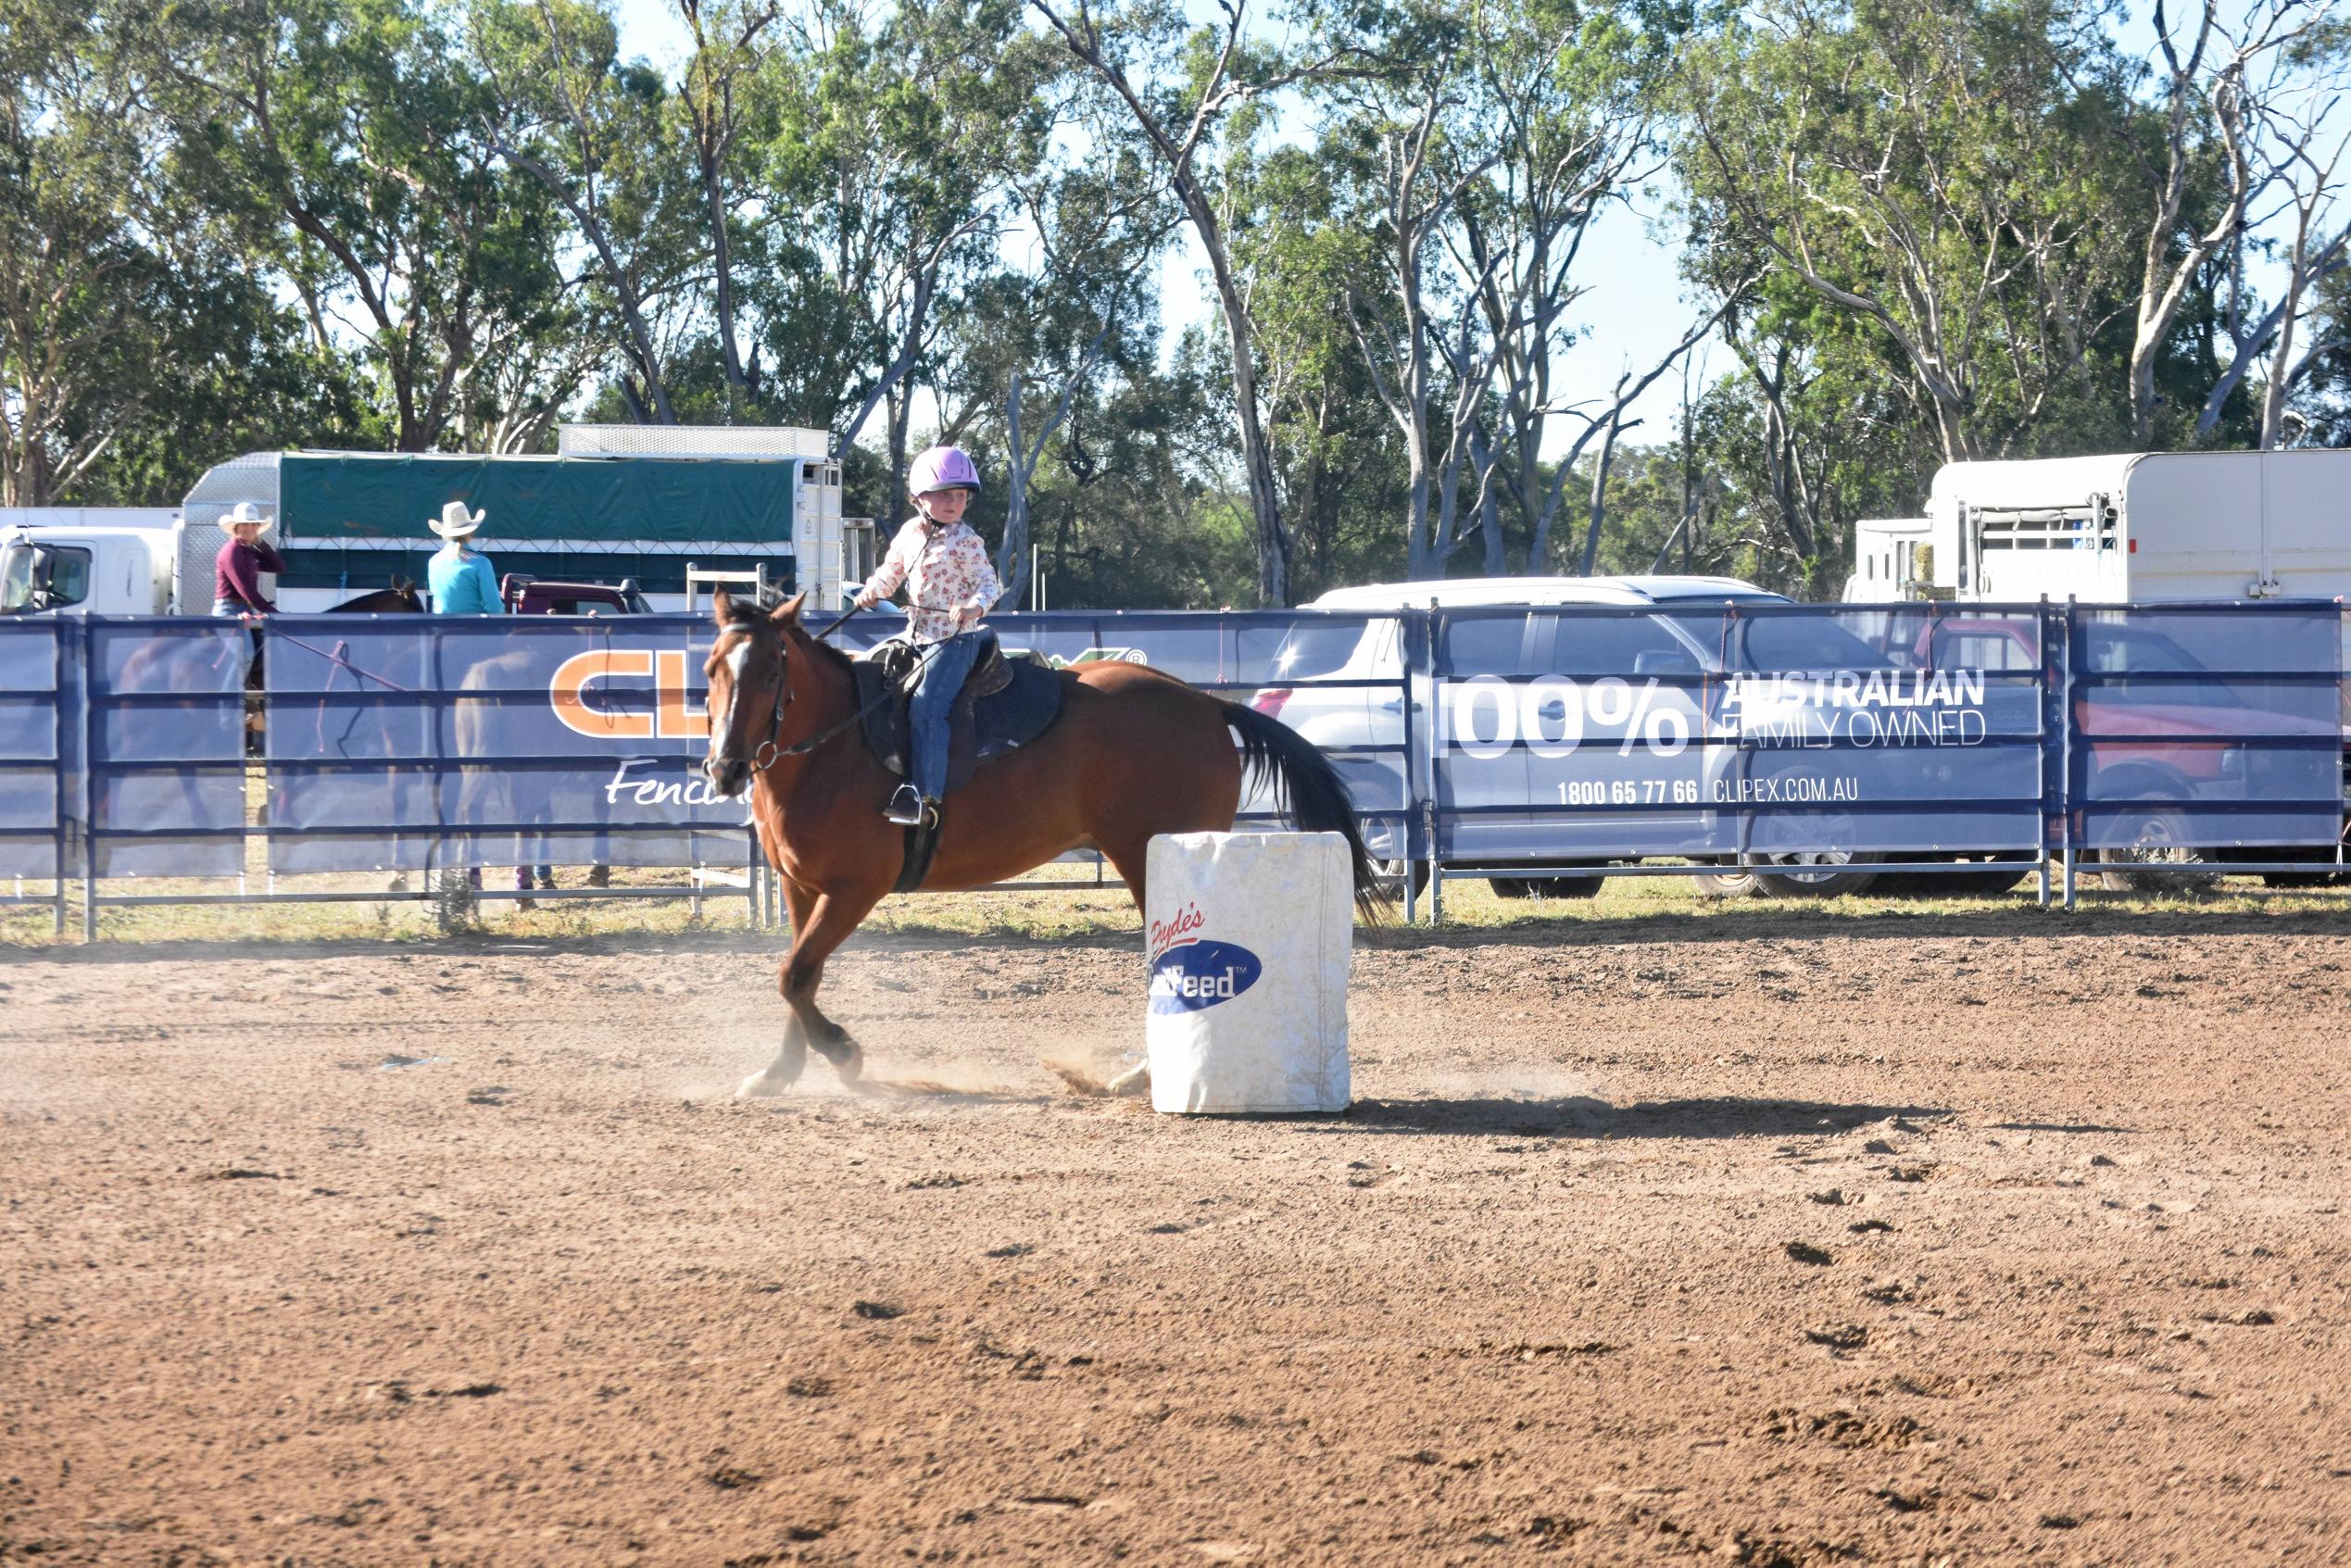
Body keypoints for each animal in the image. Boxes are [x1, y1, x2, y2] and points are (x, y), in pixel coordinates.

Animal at [705, 595, 1382, 1099]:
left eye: (771, 672)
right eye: (713, 668)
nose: (725, 769)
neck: (832, 747)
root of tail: (1207, 704)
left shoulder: (854, 888)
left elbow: (794, 973)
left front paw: (845, 1054)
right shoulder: (800, 886)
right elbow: (801, 976)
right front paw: (778, 1074)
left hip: (1150, 859)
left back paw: (1144, 1075)